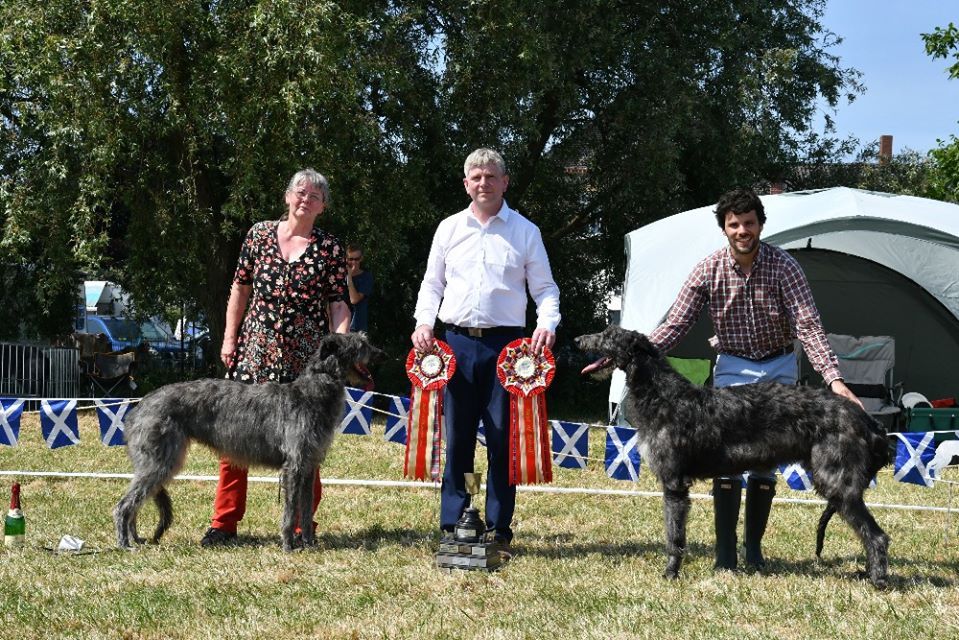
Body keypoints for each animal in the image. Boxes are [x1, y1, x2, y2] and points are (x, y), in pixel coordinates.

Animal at [113, 330, 382, 552]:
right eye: (361, 344)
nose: (382, 353)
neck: (311, 393)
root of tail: (138, 408)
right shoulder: (293, 467)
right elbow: (290, 511)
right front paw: (288, 545)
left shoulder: (308, 466)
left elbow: (305, 511)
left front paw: (308, 543)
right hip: (159, 460)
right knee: (124, 505)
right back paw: (125, 544)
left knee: (136, 501)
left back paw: (136, 539)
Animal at [576, 328, 892, 588]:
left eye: (607, 334)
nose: (578, 340)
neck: (663, 396)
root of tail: (865, 419)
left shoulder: (674, 484)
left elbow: (674, 535)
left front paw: (670, 573)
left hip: (837, 481)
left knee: (876, 535)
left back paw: (878, 580)